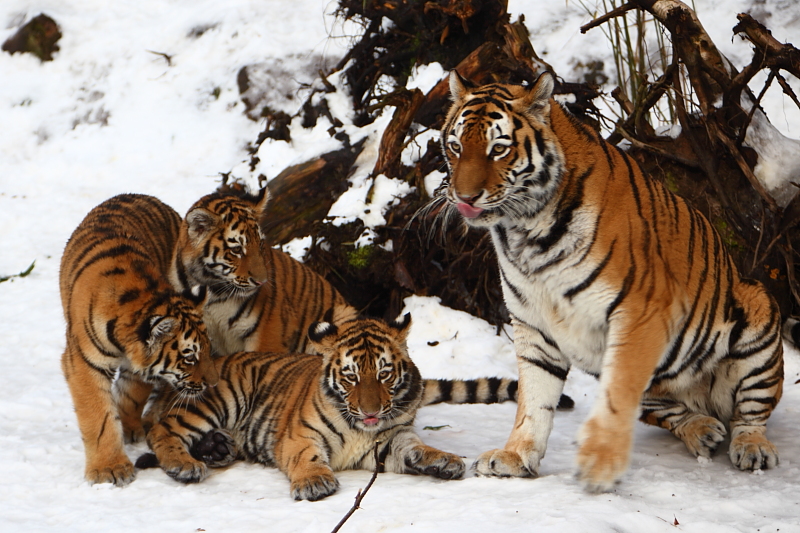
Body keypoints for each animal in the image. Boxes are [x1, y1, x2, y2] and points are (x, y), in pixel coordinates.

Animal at [60, 193, 219, 484]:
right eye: (189, 357)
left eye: (207, 350)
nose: (213, 385)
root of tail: (140, 195)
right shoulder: (83, 363)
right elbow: (99, 417)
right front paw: (109, 468)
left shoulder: (140, 366)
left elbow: (132, 394)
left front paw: (128, 426)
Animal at [145, 312, 462, 498]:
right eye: (351, 377)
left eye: (384, 374)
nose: (370, 411)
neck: (360, 427)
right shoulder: (299, 435)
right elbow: (307, 456)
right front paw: (314, 482)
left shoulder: (391, 441)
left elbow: (417, 448)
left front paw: (445, 460)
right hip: (220, 397)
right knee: (161, 430)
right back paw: (184, 465)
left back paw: (217, 448)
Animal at [434, 71, 784, 490]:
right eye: (455, 146)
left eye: (498, 149)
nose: (464, 197)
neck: (525, 234)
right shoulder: (533, 324)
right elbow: (534, 399)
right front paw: (517, 456)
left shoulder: (638, 314)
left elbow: (616, 397)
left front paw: (600, 465)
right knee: (673, 412)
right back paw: (701, 429)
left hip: (757, 311)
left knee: (752, 410)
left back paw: (752, 447)